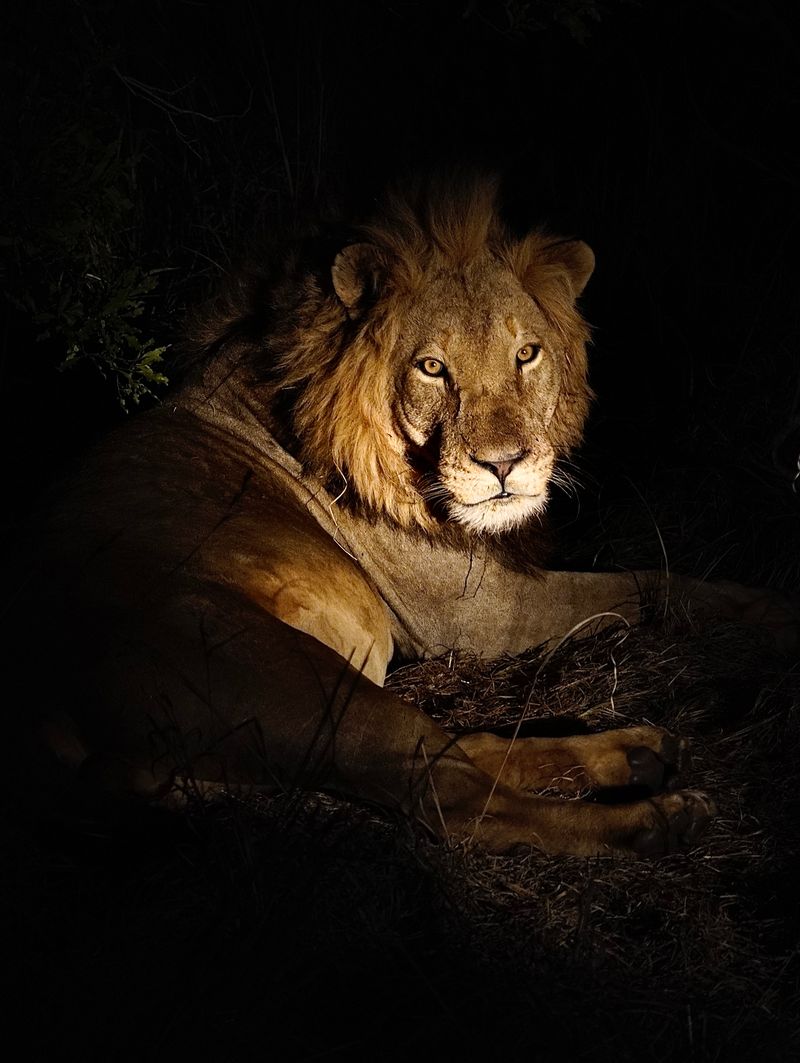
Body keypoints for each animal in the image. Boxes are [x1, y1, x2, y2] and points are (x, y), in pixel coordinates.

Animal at [27, 175, 794, 858]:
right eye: (431, 367)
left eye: (527, 354)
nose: (505, 465)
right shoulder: (480, 616)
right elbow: (650, 583)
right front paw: (772, 608)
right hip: (299, 686)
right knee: (453, 796)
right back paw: (656, 818)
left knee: (463, 745)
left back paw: (636, 752)